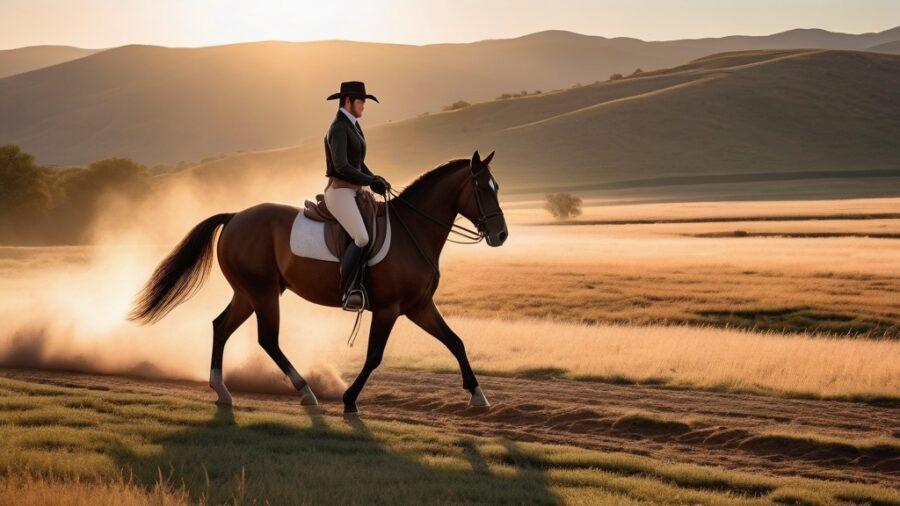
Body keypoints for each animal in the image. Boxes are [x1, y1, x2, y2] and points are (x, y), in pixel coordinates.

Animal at [128, 150, 507, 414]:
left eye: (497, 187)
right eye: (481, 188)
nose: (501, 235)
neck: (412, 231)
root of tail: (235, 217)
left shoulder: (418, 306)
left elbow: (455, 342)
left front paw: (479, 395)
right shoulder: (388, 309)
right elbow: (374, 356)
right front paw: (350, 399)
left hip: (248, 293)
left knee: (221, 326)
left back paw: (222, 391)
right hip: (263, 293)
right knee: (267, 339)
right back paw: (306, 392)